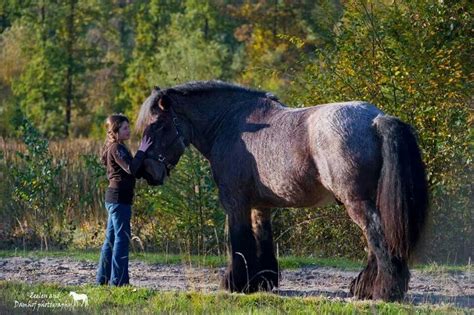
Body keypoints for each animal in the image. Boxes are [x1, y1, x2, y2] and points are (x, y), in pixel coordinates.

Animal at [135, 80, 428, 302]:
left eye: (158, 125)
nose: (147, 171)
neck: (232, 124)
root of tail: (376, 119)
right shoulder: (260, 205)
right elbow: (262, 237)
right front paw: (261, 281)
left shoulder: (235, 202)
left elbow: (239, 240)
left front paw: (235, 283)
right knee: (374, 242)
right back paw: (365, 287)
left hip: (356, 202)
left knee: (378, 238)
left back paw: (386, 291)